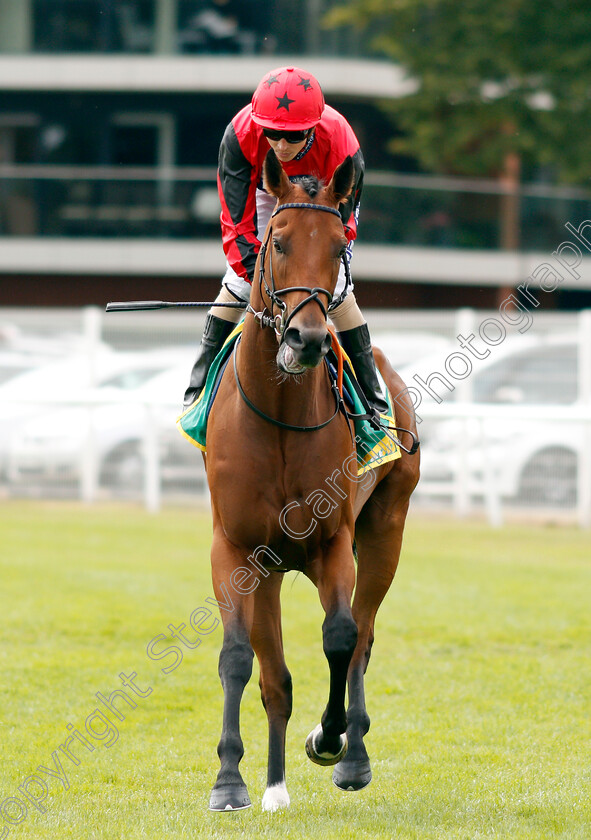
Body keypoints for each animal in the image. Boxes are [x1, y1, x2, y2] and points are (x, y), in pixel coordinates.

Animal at [204, 151, 420, 812]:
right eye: (276, 241)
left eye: (337, 247)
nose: (308, 338)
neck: (277, 415)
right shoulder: (236, 548)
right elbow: (239, 656)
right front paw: (231, 780)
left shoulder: (332, 542)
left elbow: (341, 637)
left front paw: (331, 739)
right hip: (271, 568)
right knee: (275, 676)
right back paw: (274, 787)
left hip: (387, 525)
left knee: (365, 635)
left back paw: (351, 753)